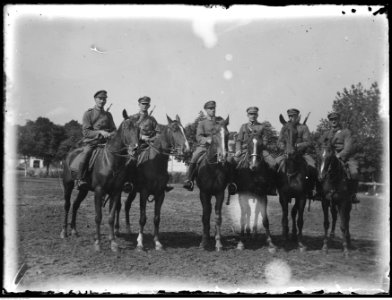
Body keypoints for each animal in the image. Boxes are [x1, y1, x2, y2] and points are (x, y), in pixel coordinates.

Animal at [60, 111, 140, 252]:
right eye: (127, 127)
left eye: (139, 129)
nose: (135, 149)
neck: (111, 161)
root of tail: (69, 155)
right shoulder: (99, 191)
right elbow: (98, 217)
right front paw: (97, 243)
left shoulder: (115, 192)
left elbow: (111, 217)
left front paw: (113, 243)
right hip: (68, 185)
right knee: (67, 205)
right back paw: (64, 232)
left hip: (83, 190)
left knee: (75, 205)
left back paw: (74, 230)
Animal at [120, 112, 191, 251]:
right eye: (174, 129)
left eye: (184, 130)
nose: (187, 150)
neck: (155, 164)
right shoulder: (144, 193)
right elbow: (142, 218)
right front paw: (140, 243)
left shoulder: (160, 194)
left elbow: (157, 218)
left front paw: (157, 243)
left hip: (133, 191)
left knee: (126, 205)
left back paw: (128, 230)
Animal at [196, 116, 230, 251]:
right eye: (214, 133)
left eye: (228, 134)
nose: (223, 156)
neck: (213, 168)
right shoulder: (204, 193)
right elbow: (205, 217)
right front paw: (203, 242)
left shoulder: (220, 193)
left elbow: (218, 217)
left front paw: (218, 243)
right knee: (207, 212)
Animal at [276, 116, 310, 252]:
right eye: (284, 132)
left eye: (296, 133)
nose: (290, 153)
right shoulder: (284, 197)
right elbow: (285, 218)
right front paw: (284, 240)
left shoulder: (302, 197)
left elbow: (300, 219)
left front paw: (301, 242)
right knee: (286, 215)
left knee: (294, 213)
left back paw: (294, 235)